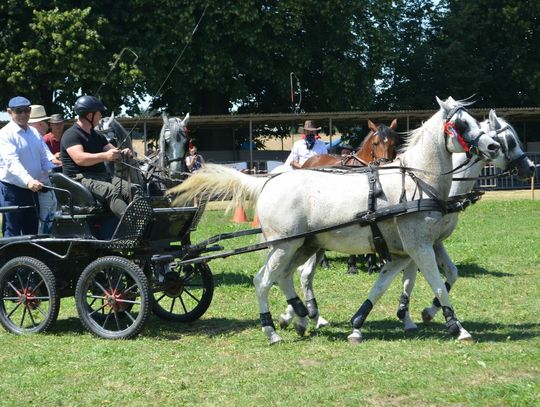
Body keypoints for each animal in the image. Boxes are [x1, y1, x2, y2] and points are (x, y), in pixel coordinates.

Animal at [302, 119, 398, 276]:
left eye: (394, 143)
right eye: (375, 143)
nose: (384, 164)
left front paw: (372, 264)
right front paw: (352, 266)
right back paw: (325, 262)